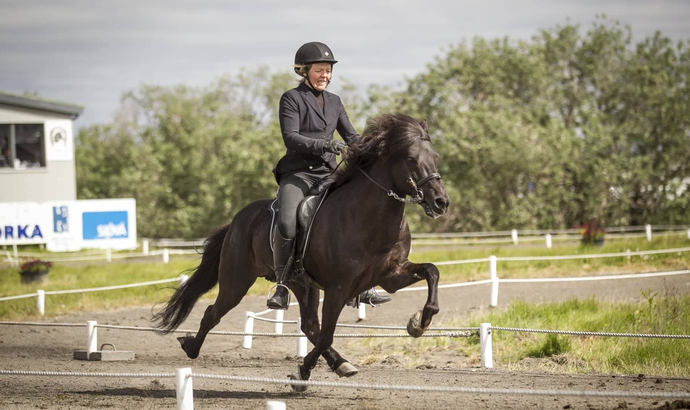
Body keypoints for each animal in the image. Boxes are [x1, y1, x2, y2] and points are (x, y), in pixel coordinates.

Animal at [153, 112, 448, 390]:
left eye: (435, 157)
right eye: (411, 159)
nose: (441, 202)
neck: (367, 218)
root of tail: (237, 220)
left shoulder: (391, 276)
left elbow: (432, 272)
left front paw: (419, 322)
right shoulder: (338, 288)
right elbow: (328, 333)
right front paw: (300, 372)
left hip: (302, 284)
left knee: (308, 325)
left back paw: (341, 364)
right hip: (237, 282)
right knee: (213, 313)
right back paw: (190, 347)